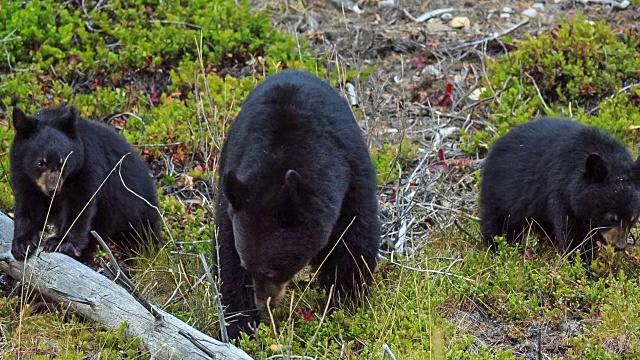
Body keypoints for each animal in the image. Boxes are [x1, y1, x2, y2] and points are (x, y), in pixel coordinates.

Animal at [9, 104, 164, 264]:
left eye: (64, 162)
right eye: (41, 163)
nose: (53, 189)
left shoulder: (87, 165)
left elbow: (79, 204)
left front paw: (60, 242)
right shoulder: (23, 174)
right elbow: (28, 205)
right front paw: (22, 243)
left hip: (133, 208)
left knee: (140, 240)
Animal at [215, 69, 382, 340]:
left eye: (272, 271)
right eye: (248, 266)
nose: (265, 305)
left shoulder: (351, 175)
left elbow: (353, 240)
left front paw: (345, 301)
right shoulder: (234, 191)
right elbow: (226, 254)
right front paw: (240, 324)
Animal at [480, 118, 640, 262]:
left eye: (633, 219)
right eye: (610, 217)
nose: (620, 246)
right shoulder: (562, 193)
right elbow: (575, 237)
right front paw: (583, 264)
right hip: (499, 193)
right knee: (499, 224)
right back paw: (500, 249)